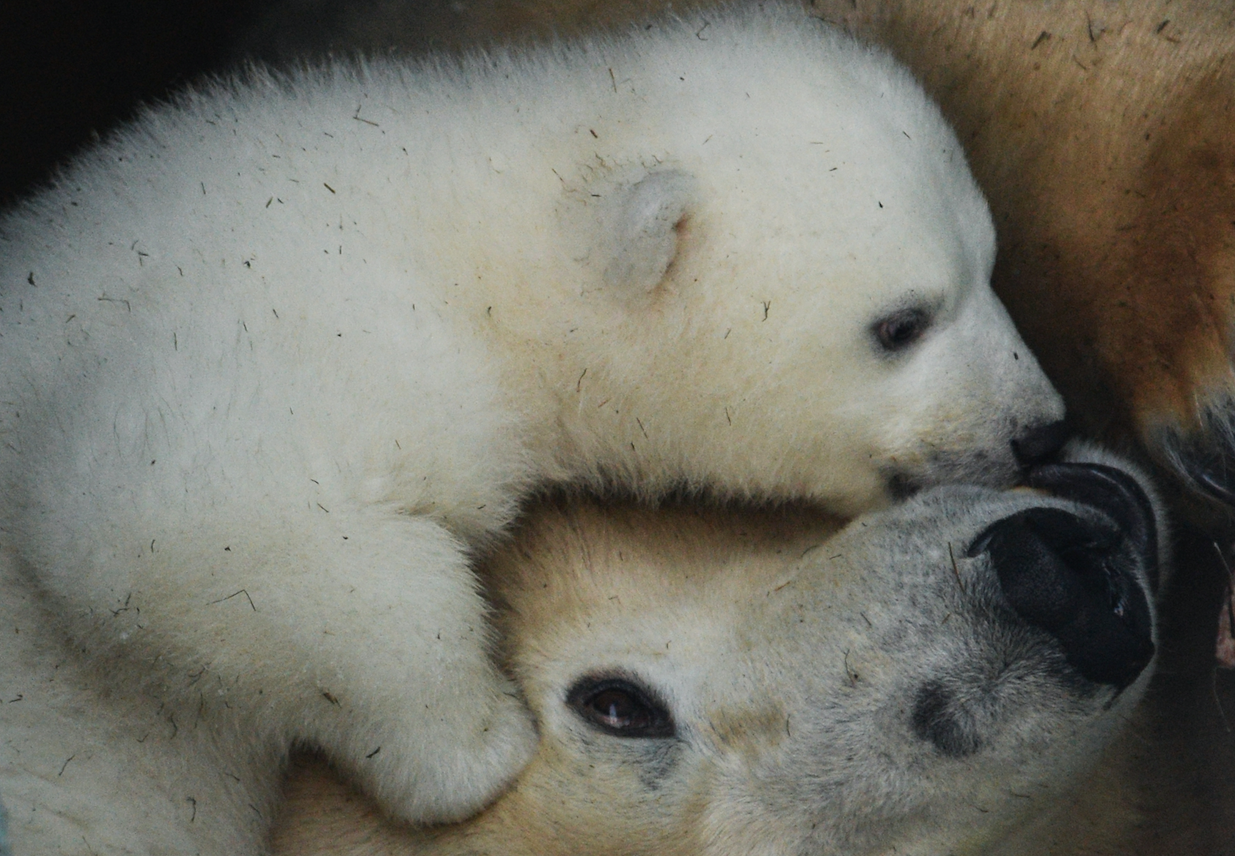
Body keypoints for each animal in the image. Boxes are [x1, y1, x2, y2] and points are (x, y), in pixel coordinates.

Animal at [0, 5, 1062, 849]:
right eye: (901, 324)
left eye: (991, 265)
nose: (1038, 430)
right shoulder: (305, 323)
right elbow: (176, 520)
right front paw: (478, 745)